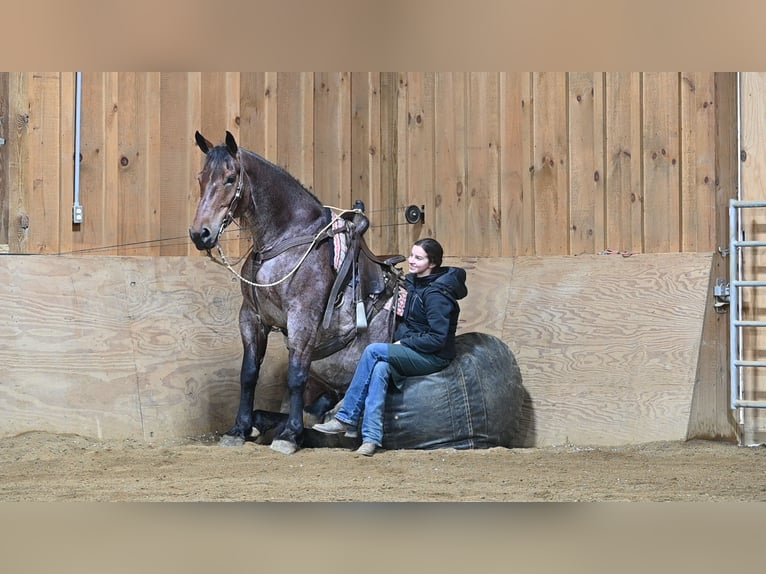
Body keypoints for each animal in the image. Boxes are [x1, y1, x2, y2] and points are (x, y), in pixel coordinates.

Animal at [189, 131, 403, 455]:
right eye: (201, 178)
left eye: (230, 178)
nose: (200, 234)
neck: (287, 239)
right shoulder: (251, 318)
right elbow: (248, 374)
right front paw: (239, 428)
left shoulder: (303, 319)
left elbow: (296, 375)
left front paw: (290, 435)